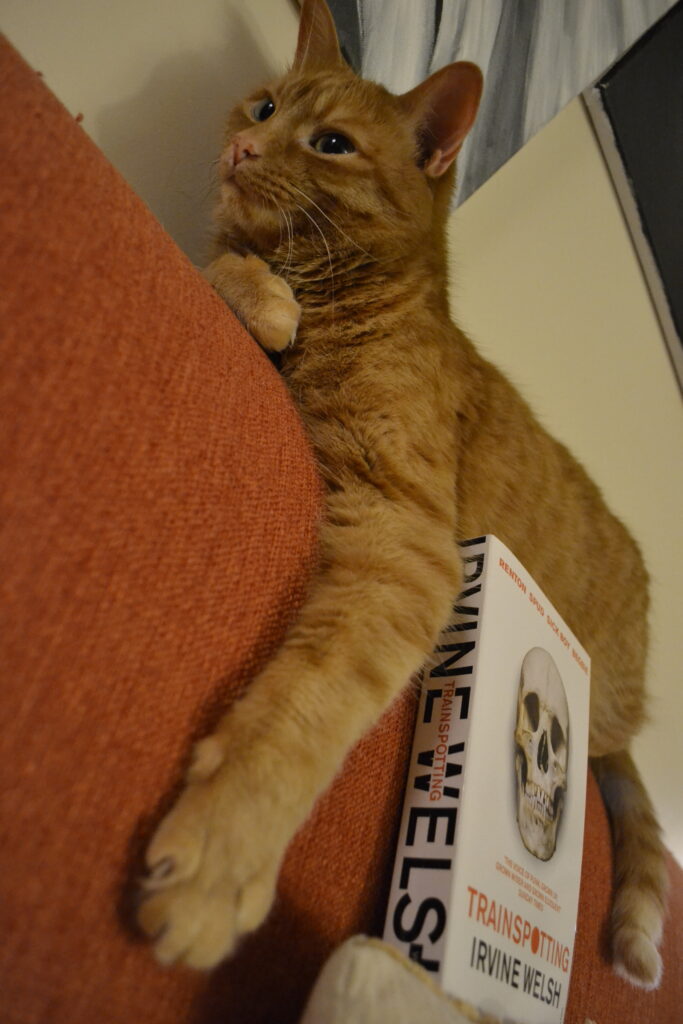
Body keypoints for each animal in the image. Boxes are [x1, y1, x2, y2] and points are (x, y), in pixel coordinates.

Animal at [137, 0, 667, 991]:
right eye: (264, 107)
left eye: (331, 143)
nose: (242, 147)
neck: (336, 298)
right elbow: (228, 268)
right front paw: (262, 302)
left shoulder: (408, 546)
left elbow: (297, 717)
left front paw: (216, 861)